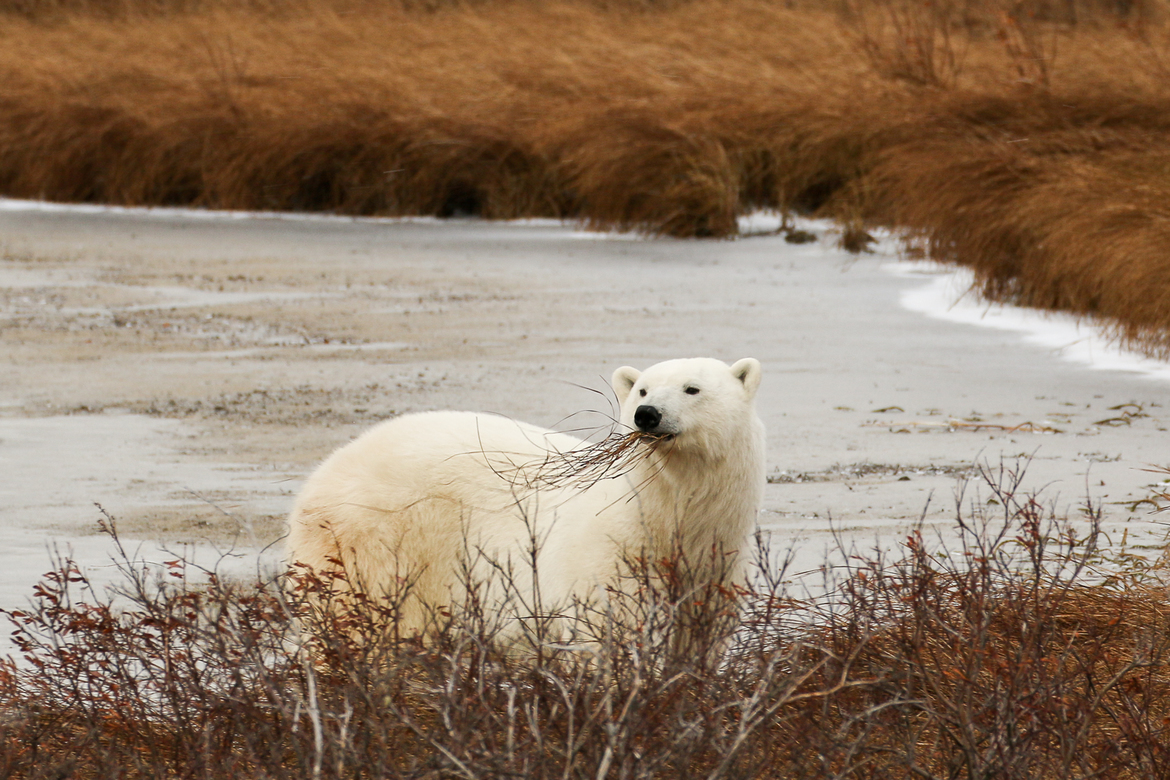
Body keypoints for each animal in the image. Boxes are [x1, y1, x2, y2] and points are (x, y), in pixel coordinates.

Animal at [285, 357, 766, 645]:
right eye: (643, 390)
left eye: (691, 389)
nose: (646, 416)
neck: (663, 522)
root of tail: (324, 471)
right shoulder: (607, 565)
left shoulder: (714, 572)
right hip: (373, 542)